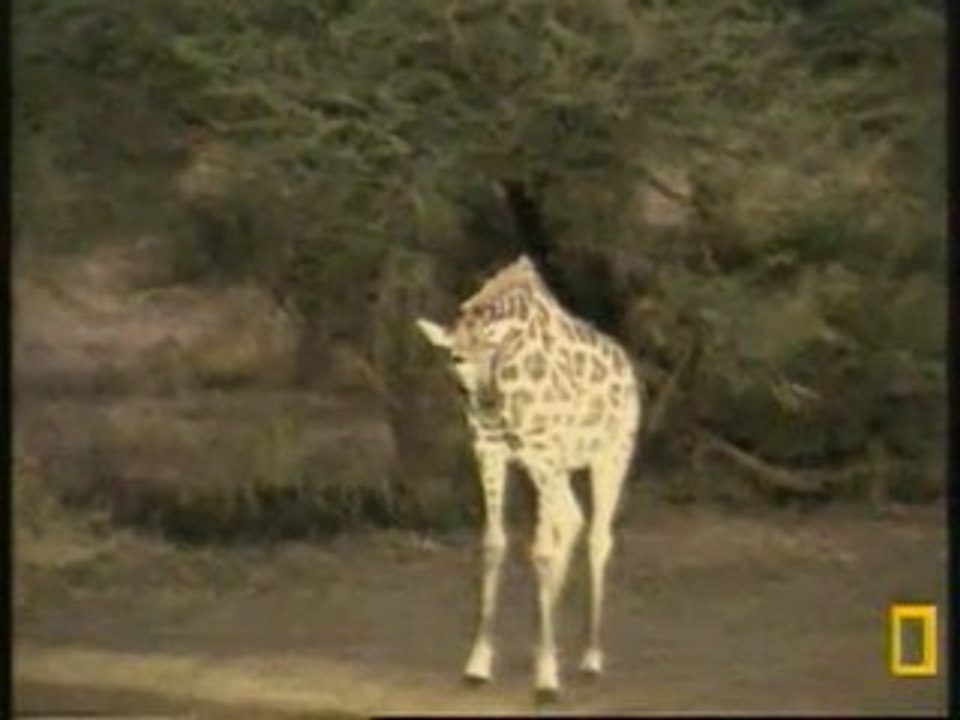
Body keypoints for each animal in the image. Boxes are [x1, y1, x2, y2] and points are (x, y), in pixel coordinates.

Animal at [416, 255, 642, 700]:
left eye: (493, 352)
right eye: (456, 357)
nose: (485, 401)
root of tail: (628, 367)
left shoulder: (544, 451)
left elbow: (541, 550)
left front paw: (548, 678)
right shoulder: (491, 450)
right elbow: (494, 545)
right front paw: (479, 664)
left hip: (610, 454)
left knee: (598, 537)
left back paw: (589, 658)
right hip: (550, 470)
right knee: (572, 520)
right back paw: (541, 646)